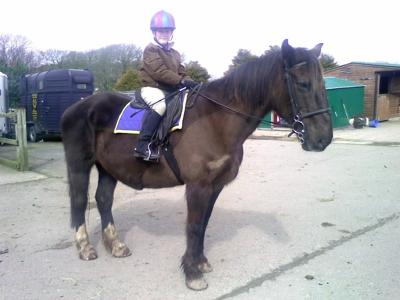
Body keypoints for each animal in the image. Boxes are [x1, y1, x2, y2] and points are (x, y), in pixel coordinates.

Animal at [61, 39, 332, 290]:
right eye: (302, 83)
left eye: (322, 84)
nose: (323, 139)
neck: (216, 121)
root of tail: (77, 107)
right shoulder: (197, 186)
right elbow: (193, 226)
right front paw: (192, 273)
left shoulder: (215, 185)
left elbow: (203, 224)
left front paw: (200, 263)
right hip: (79, 165)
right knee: (80, 201)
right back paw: (85, 248)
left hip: (109, 168)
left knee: (104, 199)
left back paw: (115, 245)